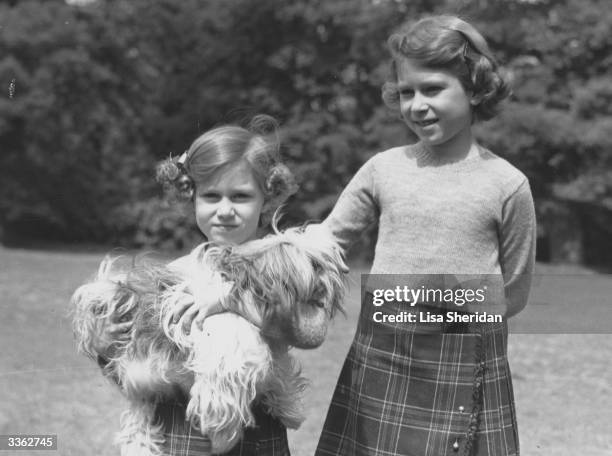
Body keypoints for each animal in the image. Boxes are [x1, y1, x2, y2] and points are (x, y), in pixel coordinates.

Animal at [70, 228, 344, 456]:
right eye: (316, 265)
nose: (333, 278)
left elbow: (280, 372)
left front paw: (290, 409)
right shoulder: (229, 348)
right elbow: (227, 389)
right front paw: (222, 435)